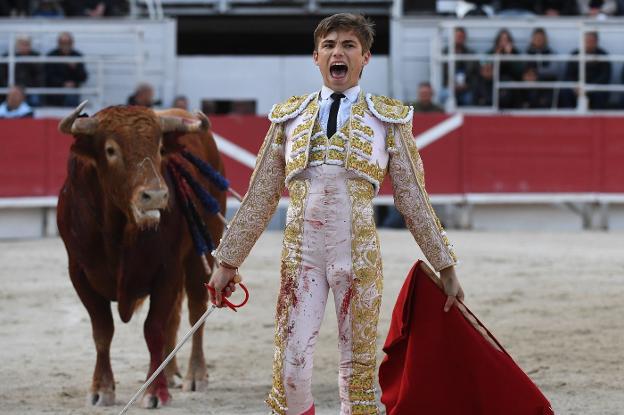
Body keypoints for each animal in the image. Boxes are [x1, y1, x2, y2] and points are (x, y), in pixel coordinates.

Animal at [57, 101, 225, 410]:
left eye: (159, 148)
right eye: (110, 149)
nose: (156, 196)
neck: (118, 227)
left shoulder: (167, 272)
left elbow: (153, 329)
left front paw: (155, 392)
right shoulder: (79, 274)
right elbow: (102, 331)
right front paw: (101, 389)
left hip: (200, 256)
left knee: (195, 310)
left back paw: (195, 375)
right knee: (174, 319)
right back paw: (169, 373)